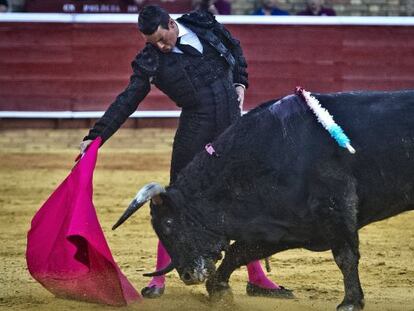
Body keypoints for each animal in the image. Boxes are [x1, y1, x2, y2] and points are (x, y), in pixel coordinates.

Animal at [114, 90, 414, 310]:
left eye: (168, 224)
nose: (187, 276)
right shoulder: (287, 226)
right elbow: (241, 250)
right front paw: (219, 292)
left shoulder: (335, 210)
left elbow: (345, 256)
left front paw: (350, 302)